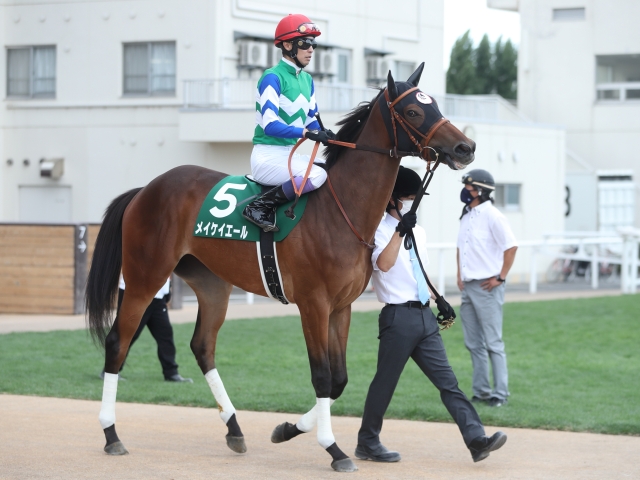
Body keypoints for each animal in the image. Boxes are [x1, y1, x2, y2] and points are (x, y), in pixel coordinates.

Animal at [86, 65, 476, 474]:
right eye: (414, 112)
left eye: (435, 105)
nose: (466, 147)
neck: (342, 210)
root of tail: (146, 188)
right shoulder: (313, 305)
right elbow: (322, 377)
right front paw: (333, 449)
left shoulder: (342, 307)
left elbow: (339, 380)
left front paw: (288, 429)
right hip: (145, 277)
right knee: (118, 342)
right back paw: (111, 434)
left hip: (212, 284)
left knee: (202, 346)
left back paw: (234, 429)